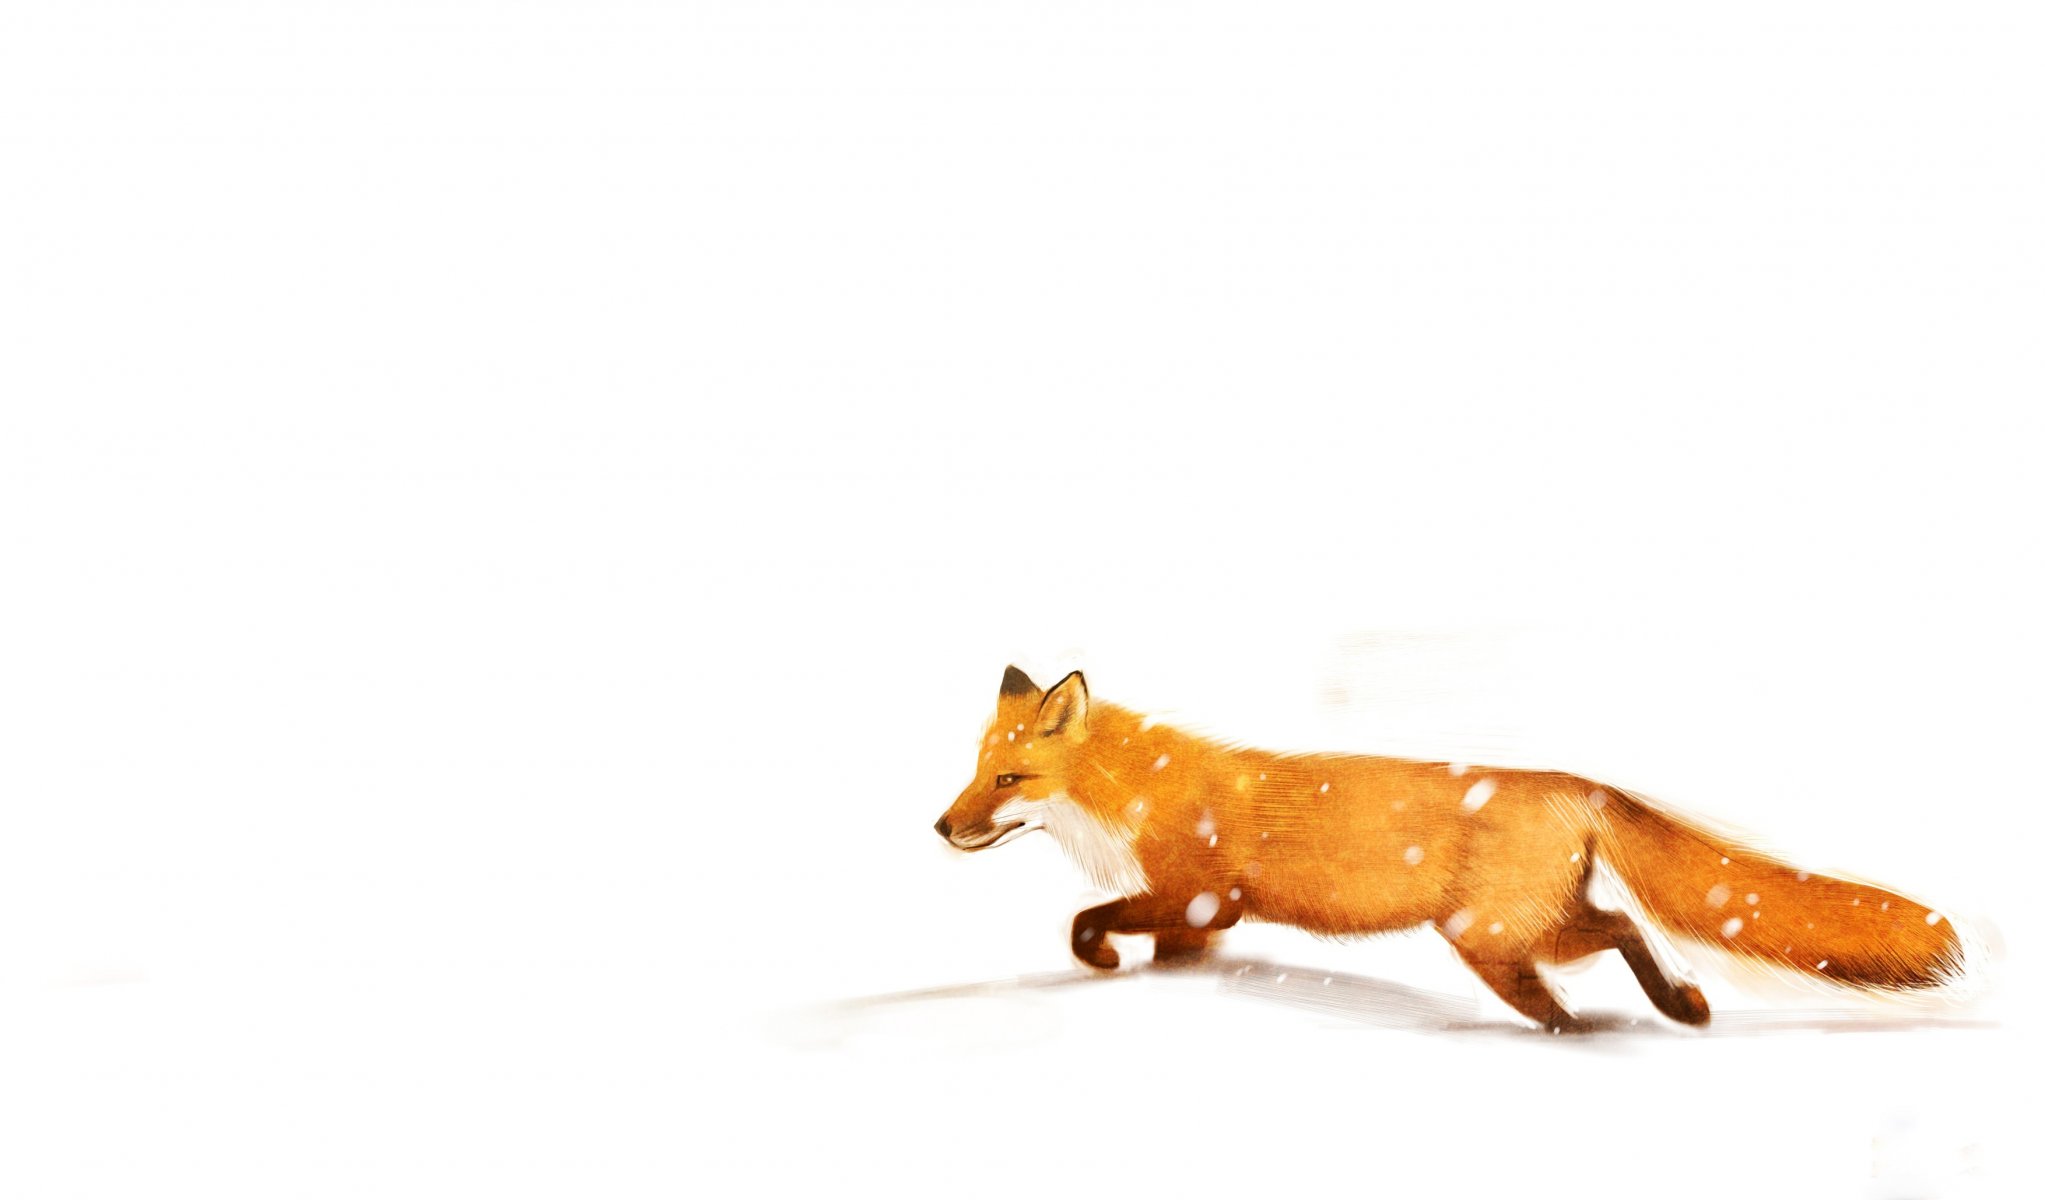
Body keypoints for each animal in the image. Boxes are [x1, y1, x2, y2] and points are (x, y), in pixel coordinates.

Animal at [934, 666, 1966, 1031]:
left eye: (1008, 780)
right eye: (975, 770)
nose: (940, 828)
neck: (1132, 794)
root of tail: (1572, 782)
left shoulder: (1196, 896)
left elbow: (1087, 922)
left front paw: (1102, 960)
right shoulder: (1198, 919)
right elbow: (1163, 952)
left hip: (1489, 937)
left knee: (1590, 958)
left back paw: (1582, 1027)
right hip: (1530, 926)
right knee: (1622, 927)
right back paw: (1675, 1007)